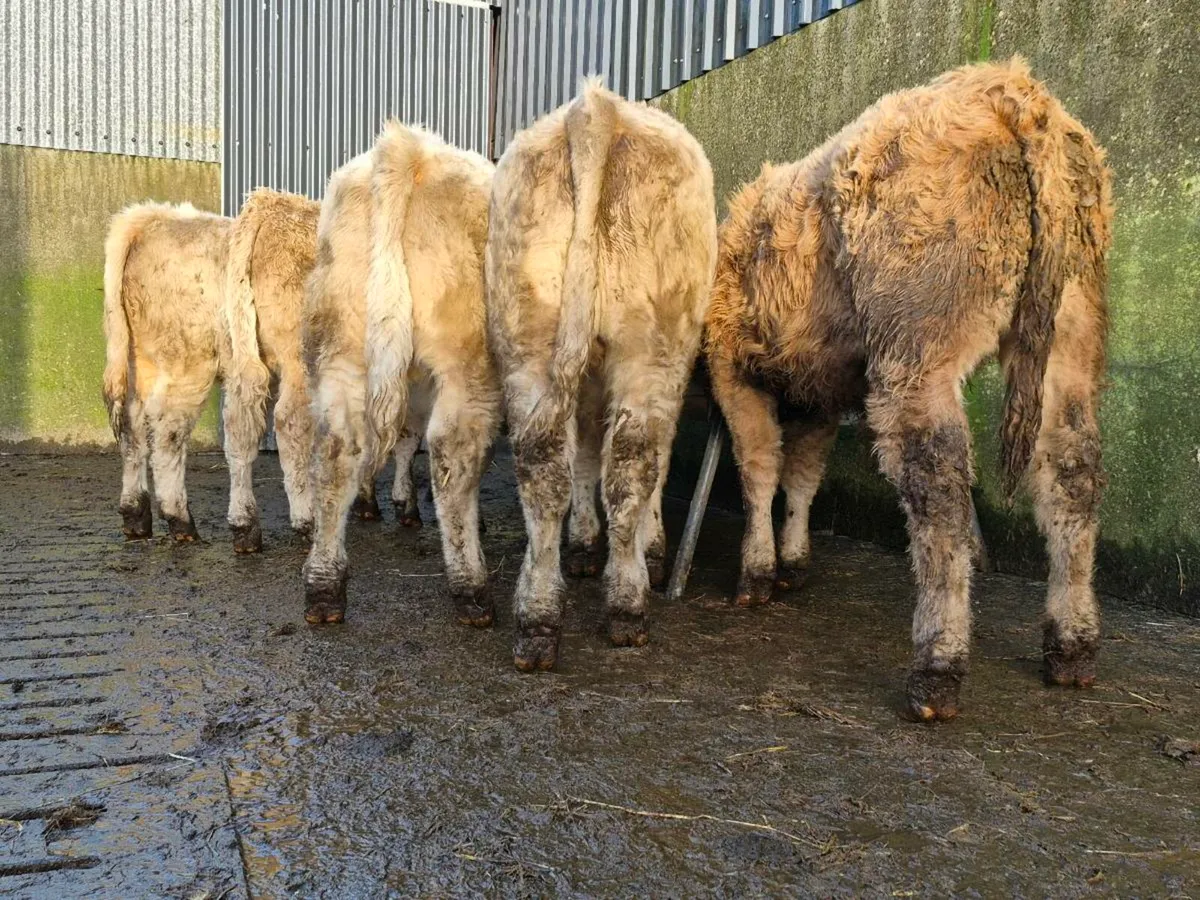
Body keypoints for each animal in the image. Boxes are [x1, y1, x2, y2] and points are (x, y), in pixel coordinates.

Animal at [302, 123, 500, 627]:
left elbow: (404, 440)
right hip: (468, 359)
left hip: (342, 348)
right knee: (452, 452)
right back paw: (471, 588)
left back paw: (324, 589)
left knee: (338, 449)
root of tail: (406, 148)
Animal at [486, 81, 718, 671]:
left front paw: (585, 544)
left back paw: (538, 619)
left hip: (528, 334)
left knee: (543, 464)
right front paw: (649, 549)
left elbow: (585, 452)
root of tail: (595, 110)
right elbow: (649, 463)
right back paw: (628, 604)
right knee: (632, 464)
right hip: (651, 348)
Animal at [704, 58, 1113, 721]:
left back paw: (937, 669)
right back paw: (1071, 647)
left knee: (939, 488)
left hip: (917, 348)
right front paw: (793, 561)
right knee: (1071, 473)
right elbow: (803, 475)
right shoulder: (821, 392)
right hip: (1070, 337)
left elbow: (760, 468)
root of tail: (1009, 87)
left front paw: (758, 572)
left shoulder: (732, 368)